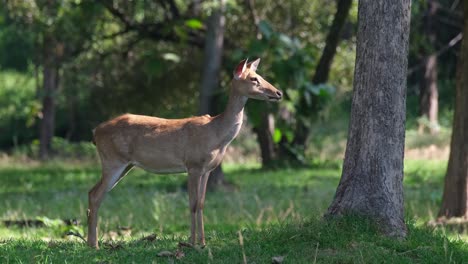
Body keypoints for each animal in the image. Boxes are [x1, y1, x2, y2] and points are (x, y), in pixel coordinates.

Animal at [88, 57, 282, 248]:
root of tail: (95, 132)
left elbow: (202, 203)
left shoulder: (207, 170)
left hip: (125, 165)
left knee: (92, 191)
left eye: (260, 76)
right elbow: (193, 204)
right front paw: (191, 242)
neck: (217, 134)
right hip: (113, 161)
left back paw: (91, 242)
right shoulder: (193, 165)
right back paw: (94, 244)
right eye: (254, 79)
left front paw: (203, 243)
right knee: (96, 195)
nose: (278, 92)